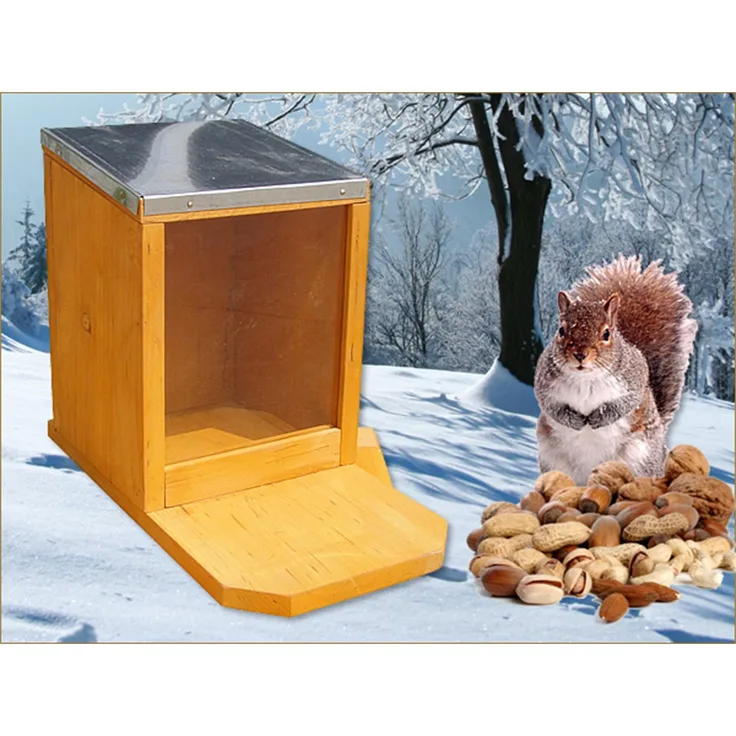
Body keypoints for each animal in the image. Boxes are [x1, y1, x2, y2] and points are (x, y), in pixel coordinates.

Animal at [534, 255, 698, 485]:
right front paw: (574, 419)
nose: (580, 355)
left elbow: (625, 404)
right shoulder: (544, 383)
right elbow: (550, 406)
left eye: (606, 333)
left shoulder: (635, 379)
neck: (585, 378)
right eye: (561, 330)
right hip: (553, 461)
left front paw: (599, 417)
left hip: (640, 459)